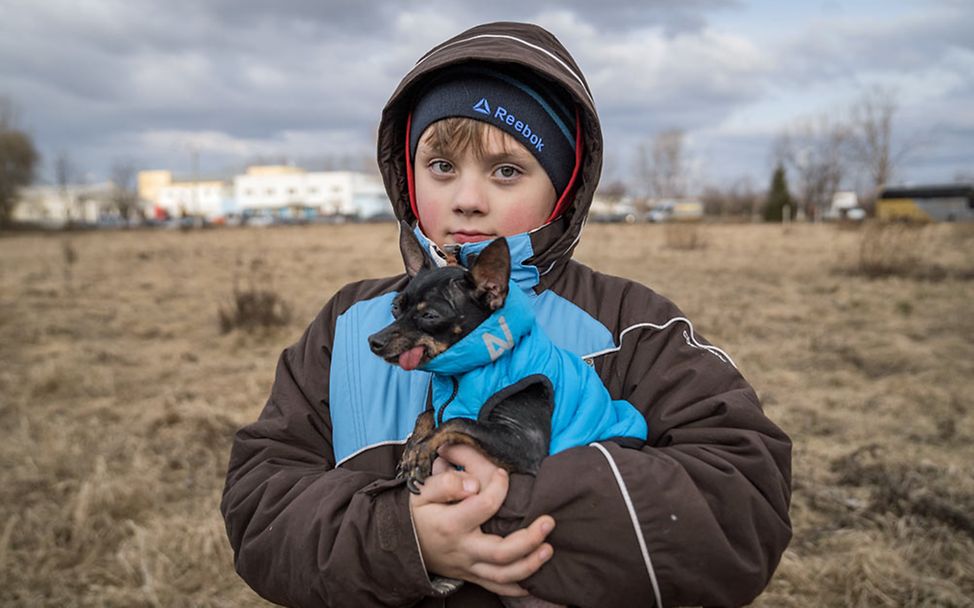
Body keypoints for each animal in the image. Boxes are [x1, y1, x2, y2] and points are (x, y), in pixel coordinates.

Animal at [372, 227, 556, 494]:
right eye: (396, 307)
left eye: (430, 316)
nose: (373, 341)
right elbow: (427, 413)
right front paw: (412, 449)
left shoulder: (526, 444)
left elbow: (457, 421)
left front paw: (421, 450)